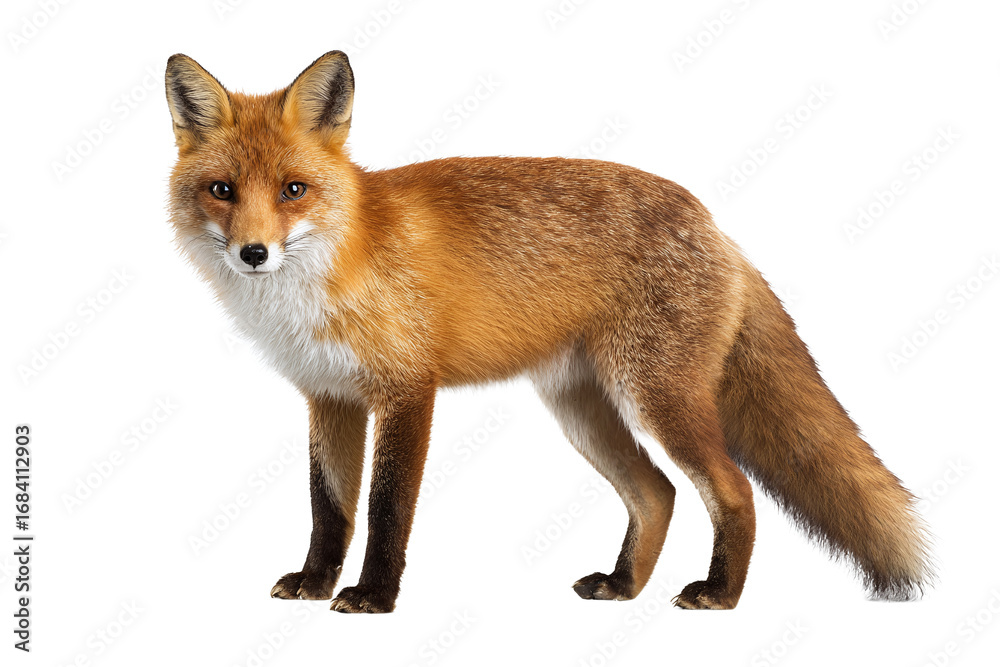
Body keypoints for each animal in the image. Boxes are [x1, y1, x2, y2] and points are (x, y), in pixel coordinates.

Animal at [164, 50, 933, 613]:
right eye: (222, 191)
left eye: (293, 190)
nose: (253, 253)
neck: (327, 273)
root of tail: (714, 222)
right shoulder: (330, 397)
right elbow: (330, 510)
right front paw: (316, 582)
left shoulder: (408, 391)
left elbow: (385, 511)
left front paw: (373, 597)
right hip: (582, 411)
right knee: (658, 493)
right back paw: (624, 586)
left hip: (657, 398)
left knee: (733, 489)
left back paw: (720, 594)